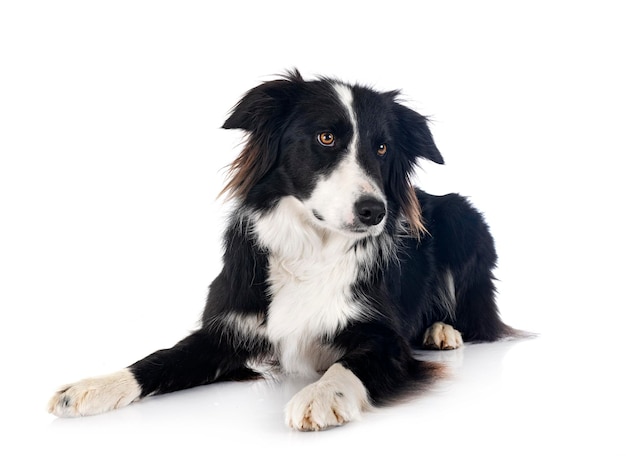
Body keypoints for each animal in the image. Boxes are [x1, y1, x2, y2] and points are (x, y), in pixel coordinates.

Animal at [48, 69, 516, 430]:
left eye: (382, 148)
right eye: (325, 137)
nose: (375, 211)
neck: (312, 249)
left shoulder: (387, 340)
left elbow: (349, 364)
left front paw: (321, 396)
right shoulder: (227, 329)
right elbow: (160, 358)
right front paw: (95, 385)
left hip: (463, 216)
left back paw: (443, 331)